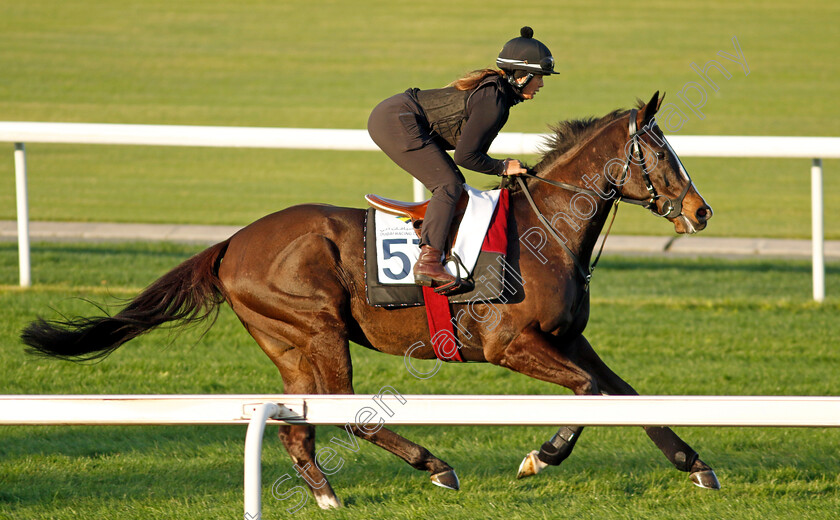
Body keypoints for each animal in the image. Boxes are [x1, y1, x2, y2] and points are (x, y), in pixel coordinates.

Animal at [21, 92, 716, 508]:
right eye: (660, 152)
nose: (701, 211)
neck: (547, 228)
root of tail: (230, 244)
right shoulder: (510, 344)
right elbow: (590, 394)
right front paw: (538, 458)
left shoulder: (568, 338)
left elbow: (628, 397)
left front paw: (694, 464)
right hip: (319, 327)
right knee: (348, 413)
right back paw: (435, 464)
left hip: (290, 342)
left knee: (296, 424)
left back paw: (327, 495)